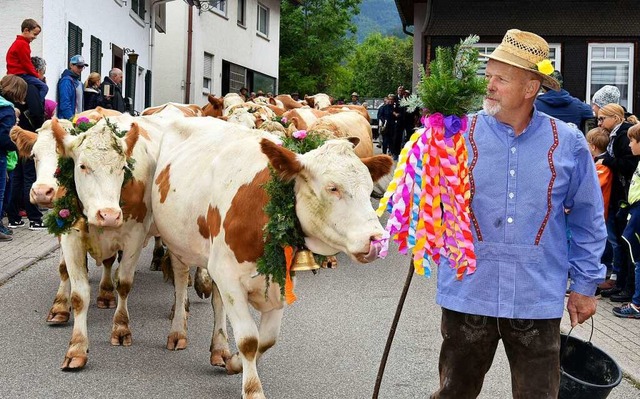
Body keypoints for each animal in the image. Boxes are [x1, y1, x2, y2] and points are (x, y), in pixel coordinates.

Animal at [152, 119, 392, 399]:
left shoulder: (277, 279)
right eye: (333, 188)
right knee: (181, 283)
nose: (376, 239)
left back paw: (220, 348)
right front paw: (253, 390)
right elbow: (248, 339)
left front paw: (235, 363)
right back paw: (178, 331)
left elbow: (266, 340)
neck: (268, 207)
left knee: (218, 300)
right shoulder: (228, 274)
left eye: (369, 190)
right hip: (178, 244)